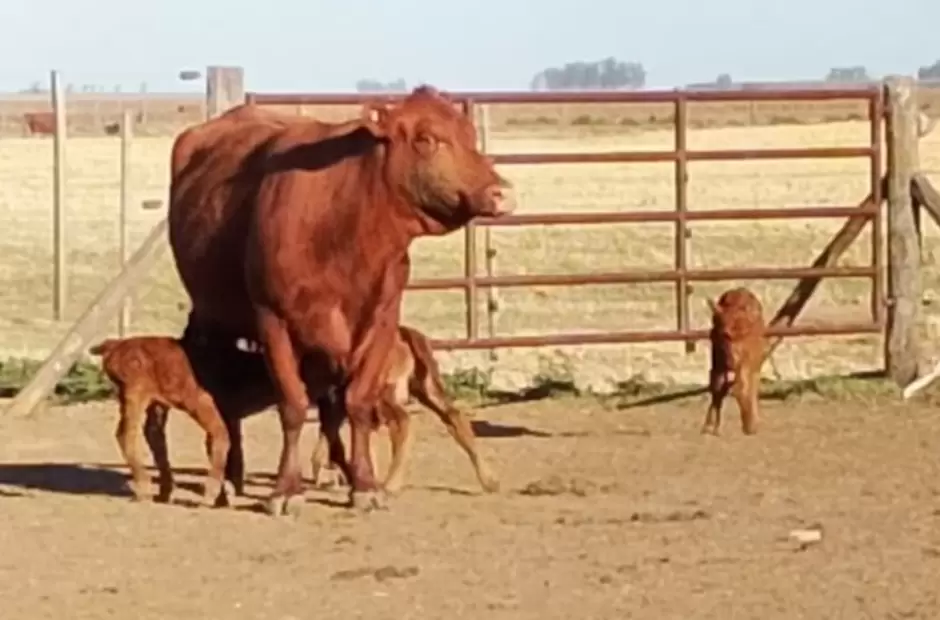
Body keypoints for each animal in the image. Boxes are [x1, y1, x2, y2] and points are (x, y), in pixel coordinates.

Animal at [168, 86, 515, 516]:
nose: (501, 194)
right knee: (228, 405)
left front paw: (364, 484)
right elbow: (293, 405)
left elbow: (357, 403)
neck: (344, 230)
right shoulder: (273, 322)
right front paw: (286, 490)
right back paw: (231, 478)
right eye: (426, 139)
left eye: (470, 136)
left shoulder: (380, 323)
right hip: (216, 320)